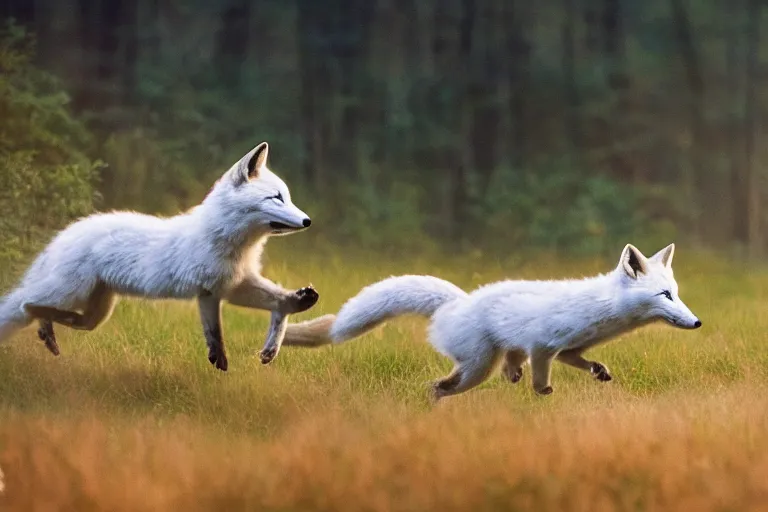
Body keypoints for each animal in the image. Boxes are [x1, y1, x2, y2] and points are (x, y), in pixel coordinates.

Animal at [0, 142, 318, 370]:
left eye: (287, 197)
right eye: (276, 198)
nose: (307, 221)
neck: (229, 241)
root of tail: (64, 234)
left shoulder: (233, 285)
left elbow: (280, 303)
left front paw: (276, 339)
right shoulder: (211, 291)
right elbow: (215, 331)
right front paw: (220, 358)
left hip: (97, 312)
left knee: (60, 315)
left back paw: (46, 332)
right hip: (68, 292)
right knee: (24, 304)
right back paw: (41, 326)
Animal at [280, 244, 704, 400]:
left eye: (676, 292)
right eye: (665, 296)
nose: (698, 322)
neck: (601, 311)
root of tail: (456, 302)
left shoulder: (570, 347)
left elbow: (580, 362)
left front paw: (598, 372)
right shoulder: (543, 344)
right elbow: (542, 373)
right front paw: (542, 393)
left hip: (484, 360)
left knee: (481, 373)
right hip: (477, 367)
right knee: (439, 387)